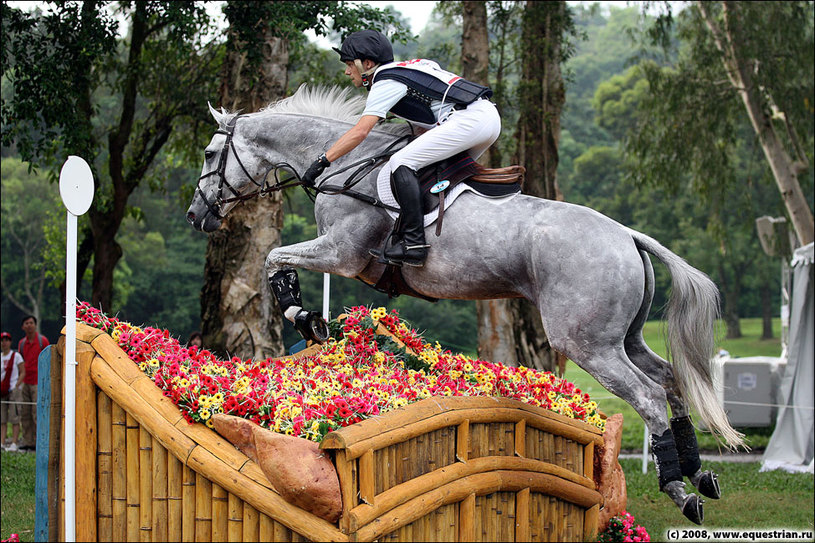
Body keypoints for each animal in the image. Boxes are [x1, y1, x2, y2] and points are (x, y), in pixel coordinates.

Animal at [190, 86, 744, 528]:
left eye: (210, 152)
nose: (197, 216)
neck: (349, 167)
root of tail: (627, 235)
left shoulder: (342, 254)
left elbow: (272, 258)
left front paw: (304, 317)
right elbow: (275, 260)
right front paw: (310, 319)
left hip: (587, 343)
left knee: (648, 395)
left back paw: (680, 491)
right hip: (621, 337)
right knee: (670, 380)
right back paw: (700, 474)